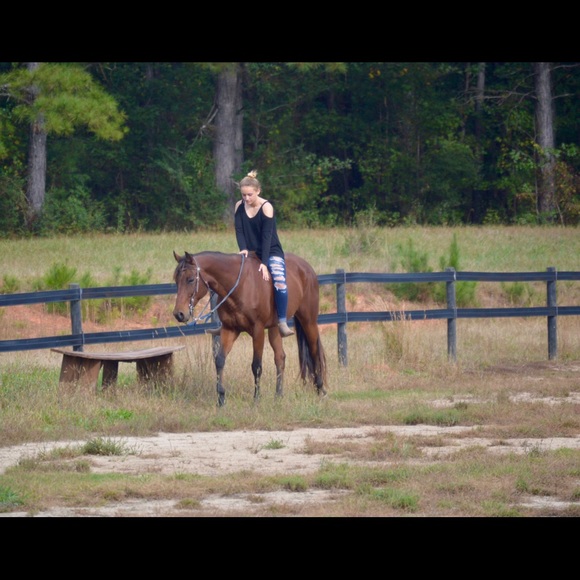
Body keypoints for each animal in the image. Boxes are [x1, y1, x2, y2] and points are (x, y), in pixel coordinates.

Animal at [171, 250, 326, 408]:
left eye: (190, 280)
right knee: (280, 357)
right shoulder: (229, 330)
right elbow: (219, 360)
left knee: (314, 352)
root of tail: (307, 268)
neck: (239, 286)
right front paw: (221, 398)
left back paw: (320, 389)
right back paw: (278, 395)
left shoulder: (257, 330)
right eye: (176, 280)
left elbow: (256, 365)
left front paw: (256, 398)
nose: (179, 314)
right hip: (275, 328)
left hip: (308, 321)